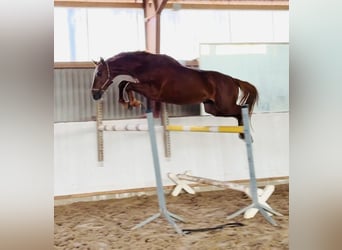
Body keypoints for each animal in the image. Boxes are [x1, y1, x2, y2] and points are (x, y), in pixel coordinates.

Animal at [91, 51, 260, 139]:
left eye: (99, 73)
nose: (94, 95)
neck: (147, 66)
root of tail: (233, 80)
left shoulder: (154, 92)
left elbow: (127, 84)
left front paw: (132, 103)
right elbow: (124, 84)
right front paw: (128, 103)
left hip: (224, 106)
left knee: (241, 109)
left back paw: (245, 134)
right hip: (213, 109)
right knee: (237, 112)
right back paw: (243, 134)